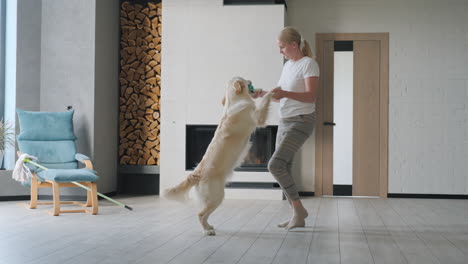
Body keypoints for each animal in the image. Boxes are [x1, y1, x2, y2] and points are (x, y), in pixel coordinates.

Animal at [164, 76, 274, 235]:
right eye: (245, 80)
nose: (251, 81)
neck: (234, 101)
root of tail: (196, 173)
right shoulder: (257, 117)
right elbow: (264, 102)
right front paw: (273, 91)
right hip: (216, 196)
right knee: (200, 214)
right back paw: (207, 231)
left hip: (217, 198)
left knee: (204, 214)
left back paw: (209, 227)